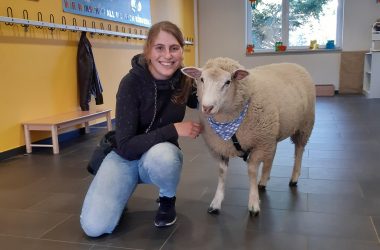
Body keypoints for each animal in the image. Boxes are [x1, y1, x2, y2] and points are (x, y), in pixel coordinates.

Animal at [181, 57, 314, 216]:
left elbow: (251, 171)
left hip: (304, 126)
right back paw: (263, 180)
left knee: (299, 150)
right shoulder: (221, 147)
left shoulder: (259, 144)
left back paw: (294, 178)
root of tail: (294, 64)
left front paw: (253, 204)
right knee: (272, 154)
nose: (207, 108)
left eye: (228, 82)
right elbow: (221, 173)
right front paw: (216, 203)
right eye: (201, 79)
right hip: (272, 135)